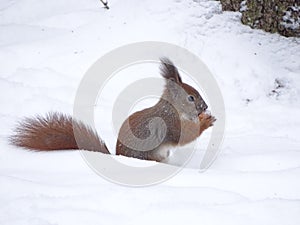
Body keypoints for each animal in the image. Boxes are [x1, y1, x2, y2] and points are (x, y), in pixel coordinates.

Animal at [9, 58, 216, 162]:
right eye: (191, 97)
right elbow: (184, 136)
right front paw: (206, 121)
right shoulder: (168, 123)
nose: (205, 107)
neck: (173, 109)